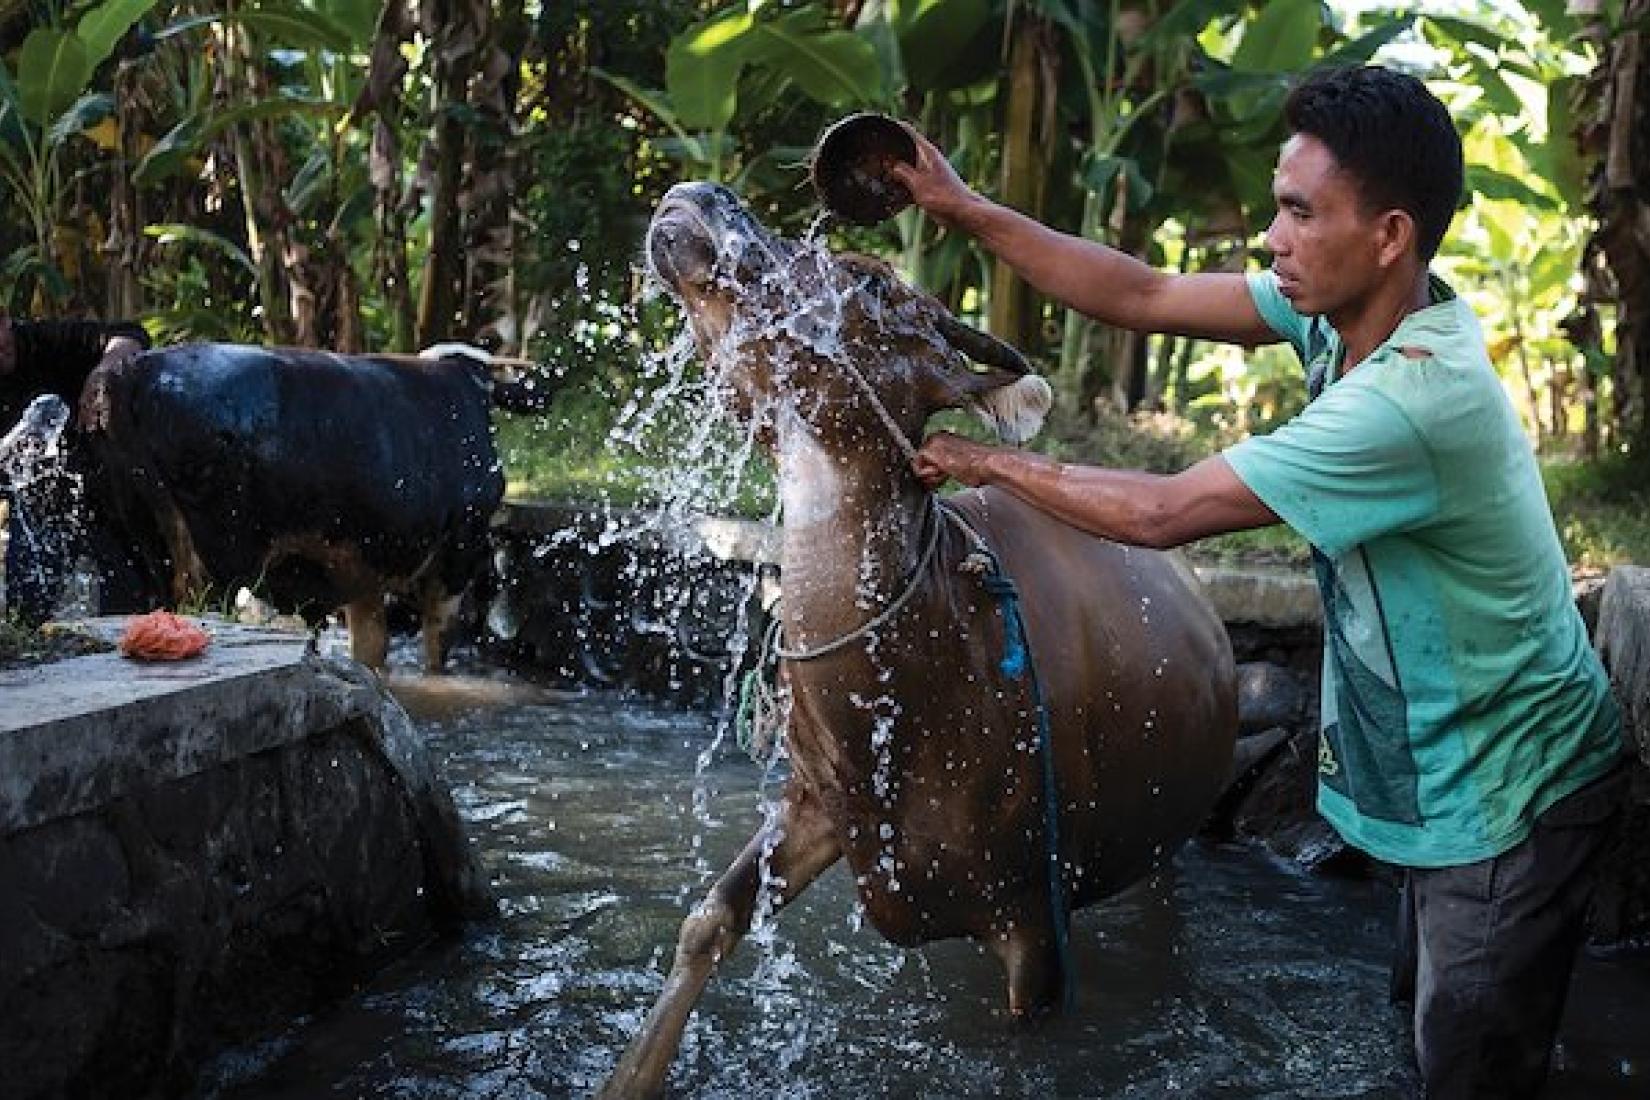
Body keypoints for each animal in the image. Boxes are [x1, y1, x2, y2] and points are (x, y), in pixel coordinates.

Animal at [603, 184, 1240, 1095]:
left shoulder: (1037, 928)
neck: (923, 678)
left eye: (871, 282)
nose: (707, 196)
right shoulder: (821, 803)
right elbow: (708, 921)